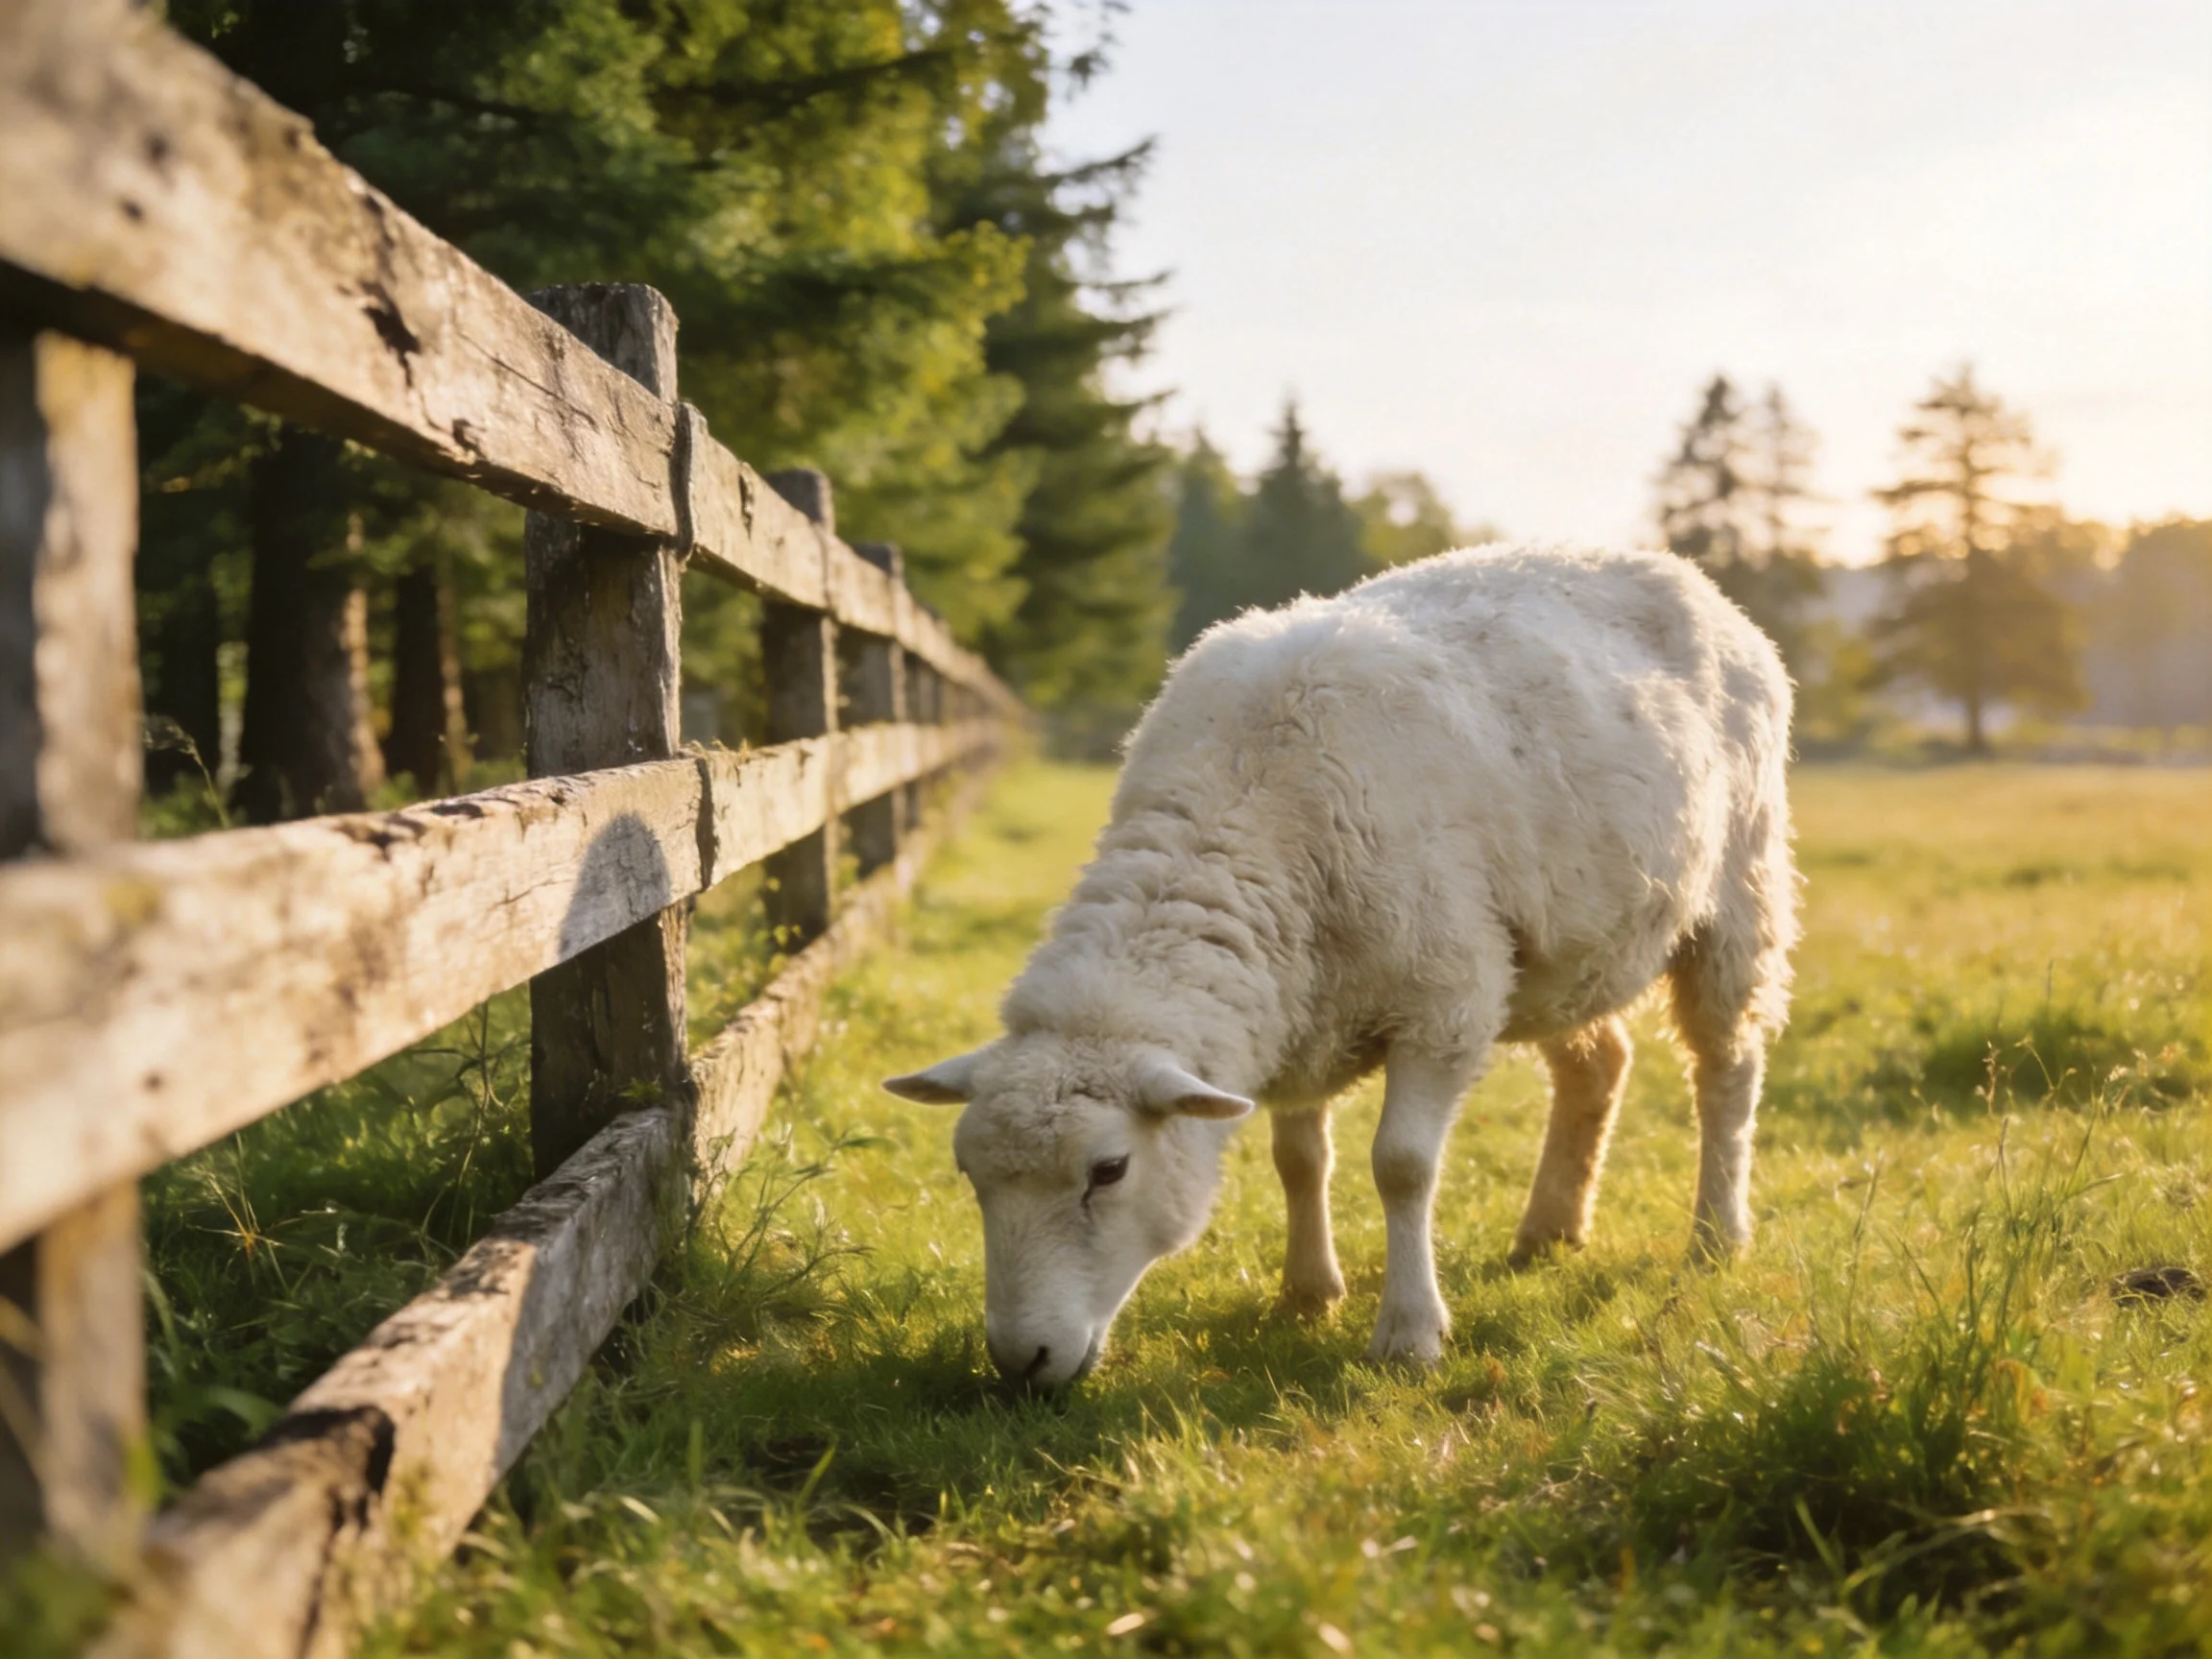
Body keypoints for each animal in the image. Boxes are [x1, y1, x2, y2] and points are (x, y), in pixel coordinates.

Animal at [886, 544, 1798, 1389]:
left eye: (1109, 1171)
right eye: (968, 1172)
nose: (1020, 1361)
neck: (1245, 803)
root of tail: (1673, 569)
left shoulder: (1446, 1001)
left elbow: (1402, 1167)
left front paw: (1409, 1334)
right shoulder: (1299, 1004)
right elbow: (1298, 1158)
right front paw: (1306, 1292)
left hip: (1737, 889)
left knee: (1727, 1069)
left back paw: (1717, 1236)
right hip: (1560, 951)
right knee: (1598, 1064)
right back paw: (1549, 1229)